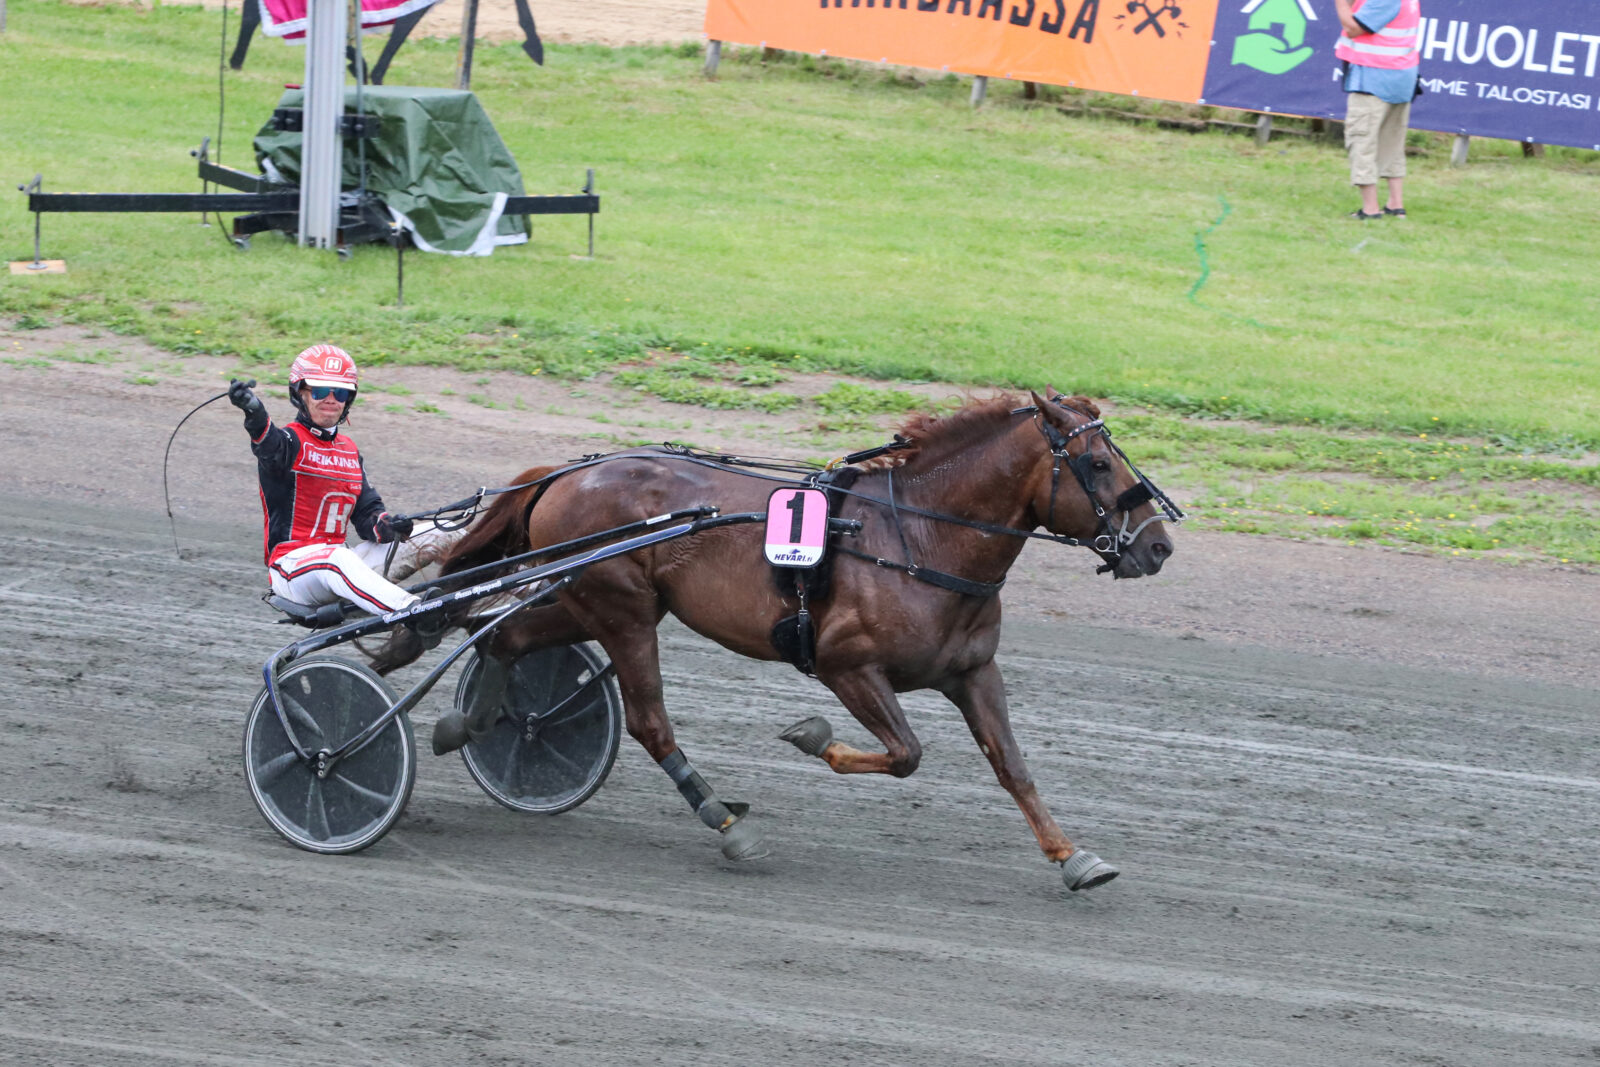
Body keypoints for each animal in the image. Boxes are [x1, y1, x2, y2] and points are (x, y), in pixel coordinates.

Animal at [393, 391, 1184, 895]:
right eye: (1100, 464)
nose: (1158, 546)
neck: (918, 537)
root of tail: (569, 473)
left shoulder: (973, 673)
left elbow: (1013, 767)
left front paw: (1073, 856)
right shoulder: (845, 665)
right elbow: (905, 753)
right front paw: (812, 736)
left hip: (599, 601)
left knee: (505, 634)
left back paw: (471, 723)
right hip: (622, 610)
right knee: (648, 721)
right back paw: (722, 821)